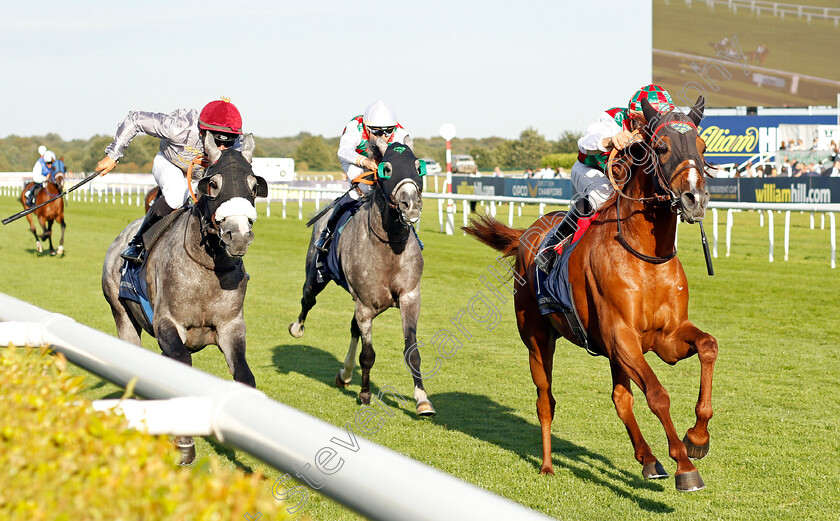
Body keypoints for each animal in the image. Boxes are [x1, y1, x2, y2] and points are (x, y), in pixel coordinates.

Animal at [102, 133, 266, 464]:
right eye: (213, 184)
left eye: (254, 186)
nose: (238, 236)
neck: (206, 268)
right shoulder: (168, 323)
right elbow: (180, 366)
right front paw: (184, 443)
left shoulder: (231, 326)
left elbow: (243, 375)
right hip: (121, 313)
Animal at [290, 137, 436, 414]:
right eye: (386, 169)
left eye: (418, 167)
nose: (411, 205)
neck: (389, 246)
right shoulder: (366, 306)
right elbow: (368, 355)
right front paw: (366, 394)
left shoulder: (410, 297)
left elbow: (412, 351)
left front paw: (423, 400)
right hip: (315, 277)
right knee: (307, 300)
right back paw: (297, 328)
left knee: (352, 328)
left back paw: (345, 374)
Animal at [462, 95, 720, 490]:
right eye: (661, 147)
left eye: (703, 146)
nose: (695, 199)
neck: (645, 255)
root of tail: (528, 233)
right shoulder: (622, 336)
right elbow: (658, 395)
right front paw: (684, 466)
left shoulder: (666, 337)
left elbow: (708, 346)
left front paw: (697, 438)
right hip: (537, 339)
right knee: (545, 401)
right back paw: (548, 465)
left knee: (620, 398)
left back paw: (649, 460)